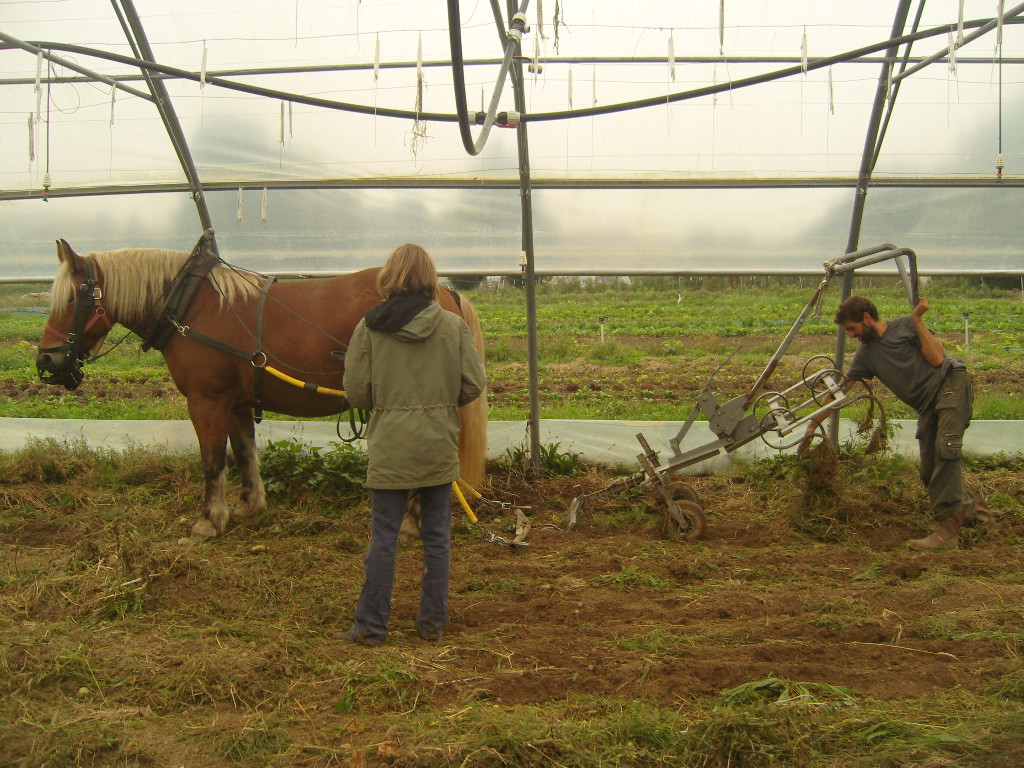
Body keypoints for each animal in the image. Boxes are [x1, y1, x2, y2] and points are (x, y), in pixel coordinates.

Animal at [36, 237, 487, 536]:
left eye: (73, 297)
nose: (46, 362)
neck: (191, 306)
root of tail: (441, 289)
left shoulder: (206, 401)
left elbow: (212, 460)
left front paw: (208, 521)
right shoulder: (235, 402)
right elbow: (245, 453)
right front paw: (249, 505)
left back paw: (411, 522)